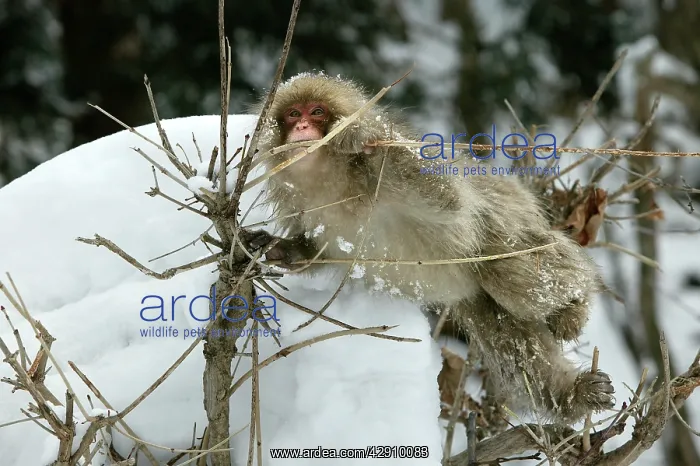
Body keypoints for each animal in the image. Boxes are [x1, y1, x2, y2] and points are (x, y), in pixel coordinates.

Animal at [244, 72, 615, 423]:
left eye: (317, 112)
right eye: (293, 114)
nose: (302, 127)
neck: (332, 180)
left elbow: (447, 197)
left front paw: (358, 135)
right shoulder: (301, 205)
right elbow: (318, 254)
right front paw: (275, 248)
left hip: (513, 221)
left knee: (503, 267)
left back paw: (576, 302)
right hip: (476, 297)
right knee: (508, 337)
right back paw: (571, 394)